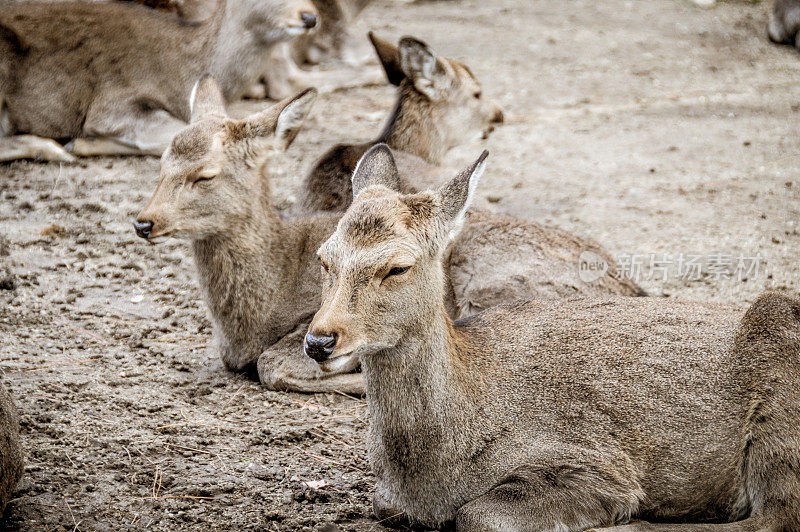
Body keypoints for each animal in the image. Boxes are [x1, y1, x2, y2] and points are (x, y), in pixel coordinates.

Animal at [304, 142, 800, 532]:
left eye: (397, 267)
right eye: (324, 258)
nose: (319, 341)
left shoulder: (595, 462)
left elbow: (478, 515)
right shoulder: (390, 498)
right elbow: (380, 507)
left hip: (779, 377)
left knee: (773, 516)